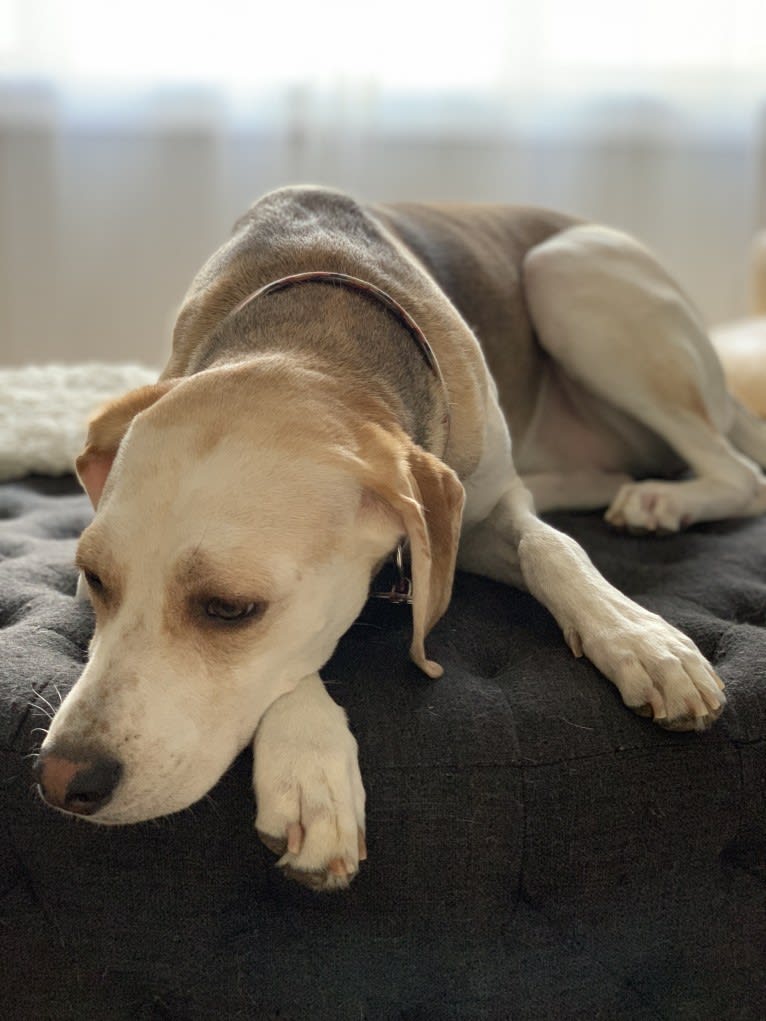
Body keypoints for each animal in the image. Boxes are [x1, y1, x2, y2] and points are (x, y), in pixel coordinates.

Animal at [34, 187, 766, 890]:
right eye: (95, 579)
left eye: (231, 608)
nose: (62, 780)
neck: (313, 335)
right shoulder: (453, 536)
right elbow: (297, 657)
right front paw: (309, 766)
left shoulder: (479, 509)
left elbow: (553, 548)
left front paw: (639, 638)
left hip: (568, 274)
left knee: (741, 473)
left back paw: (660, 500)